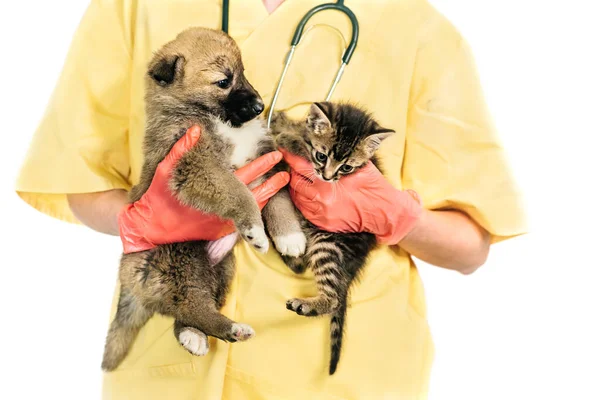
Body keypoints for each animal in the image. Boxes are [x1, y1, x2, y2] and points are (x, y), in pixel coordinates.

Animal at [101, 27, 304, 372]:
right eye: (223, 81)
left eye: (243, 73)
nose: (260, 106)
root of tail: (128, 281)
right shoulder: (197, 164)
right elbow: (238, 192)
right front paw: (254, 227)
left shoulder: (264, 158)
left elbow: (279, 198)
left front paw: (290, 236)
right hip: (180, 262)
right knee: (191, 305)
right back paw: (229, 328)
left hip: (220, 270)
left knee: (186, 312)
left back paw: (193, 336)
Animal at [270, 101, 394, 376]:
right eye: (322, 156)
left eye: (346, 167)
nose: (327, 178)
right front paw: (283, 123)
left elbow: (298, 148)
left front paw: (286, 137)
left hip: (327, 243)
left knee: (333, 297)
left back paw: (309, 304)